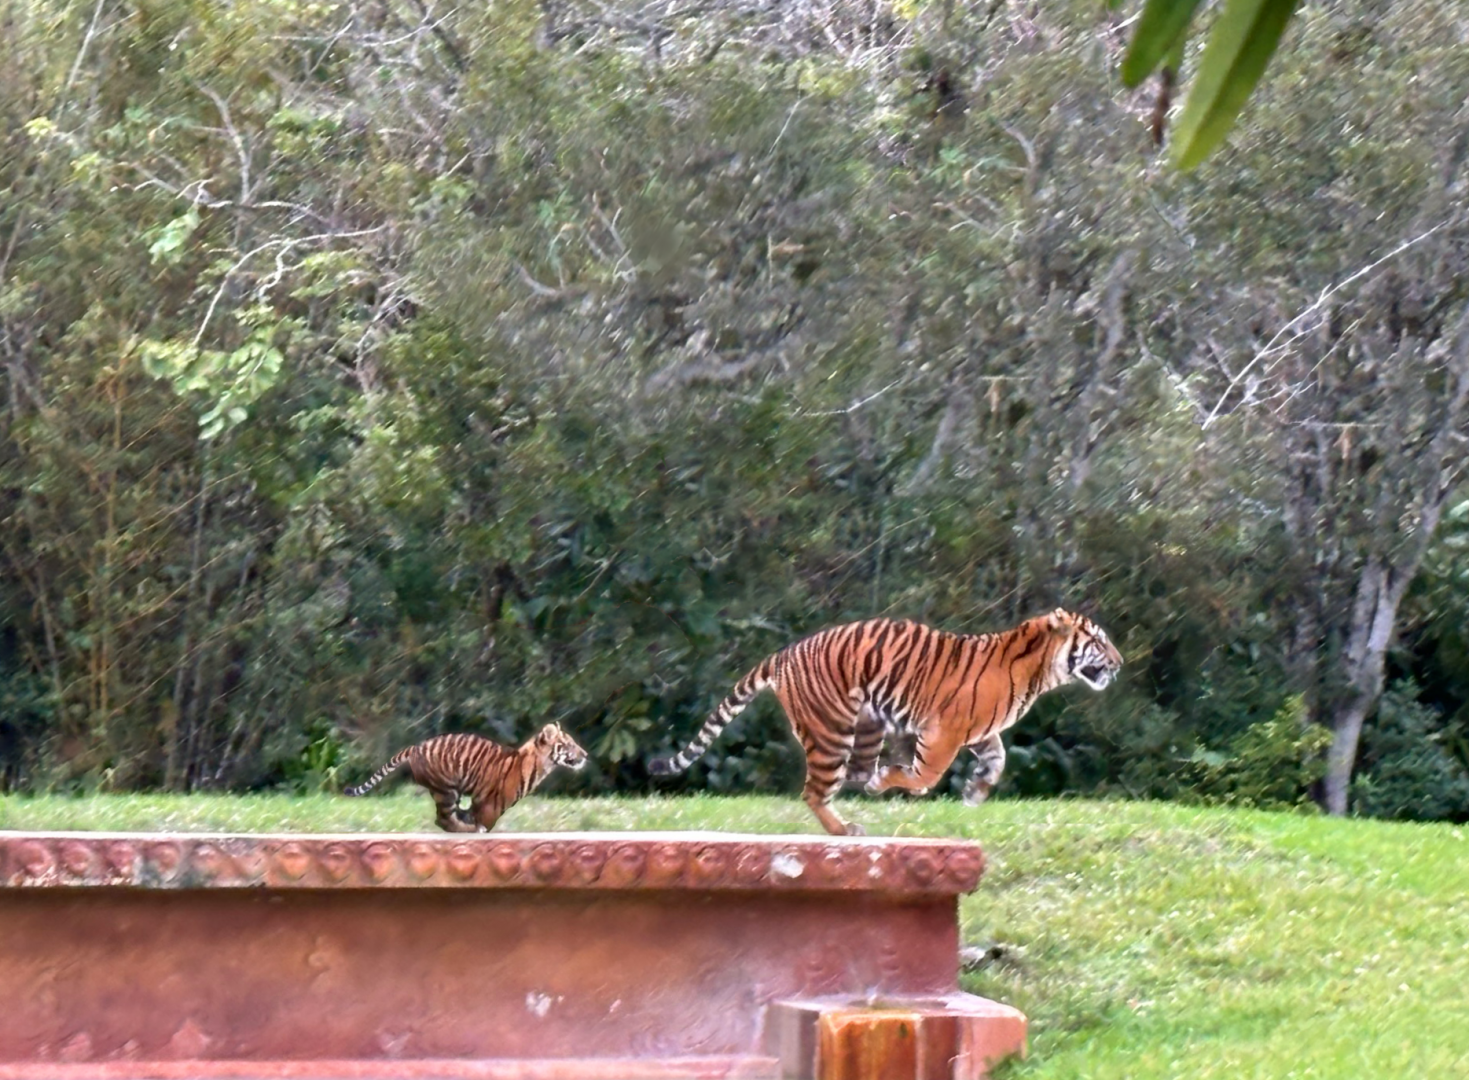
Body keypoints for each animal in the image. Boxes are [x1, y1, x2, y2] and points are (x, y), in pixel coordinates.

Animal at [344, 724, 588, 833]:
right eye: (568, 745)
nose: (585, 754)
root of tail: (414, 747)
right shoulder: (492, 802)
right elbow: (486, 821)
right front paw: (476, 827)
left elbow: (472, 813)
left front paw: (469, 818)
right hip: (447, 789)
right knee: (442, 819)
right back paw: (465, 828)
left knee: (445, 818)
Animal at [649, 609, 1122, 836]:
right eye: (1099, 641)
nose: (1119, 663)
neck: (1039, 670)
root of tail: (783, 654)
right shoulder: (944, 731)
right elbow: (925, 776)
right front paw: (894, 782)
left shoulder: (980, 732)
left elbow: (998, 760)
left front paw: (975, 791)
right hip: (832, 730)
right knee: (815, 790)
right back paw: (845, 828)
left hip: (866, 724)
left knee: (849, 773)